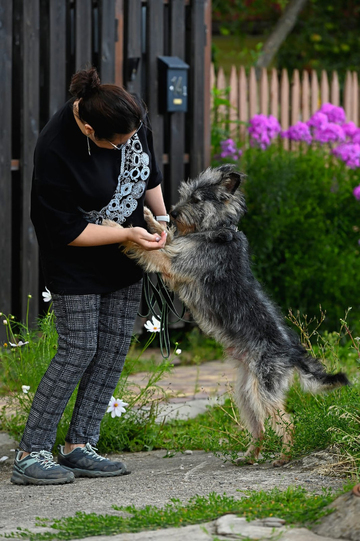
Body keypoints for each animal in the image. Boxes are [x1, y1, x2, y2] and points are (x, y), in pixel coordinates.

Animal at [103, 163, 348, 464]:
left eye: (197, 200)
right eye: (184, 195)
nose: (172, 211)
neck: (215, 230)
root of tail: (293, 353)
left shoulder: (172, 263)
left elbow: (149, 246)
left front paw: (116, 228)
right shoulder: (174, 251)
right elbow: (166, 234)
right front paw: (151, 217)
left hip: (263, 388)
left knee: (286, 422)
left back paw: (284, 455)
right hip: (246, 392)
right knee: (259, 426)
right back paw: (250, 455)